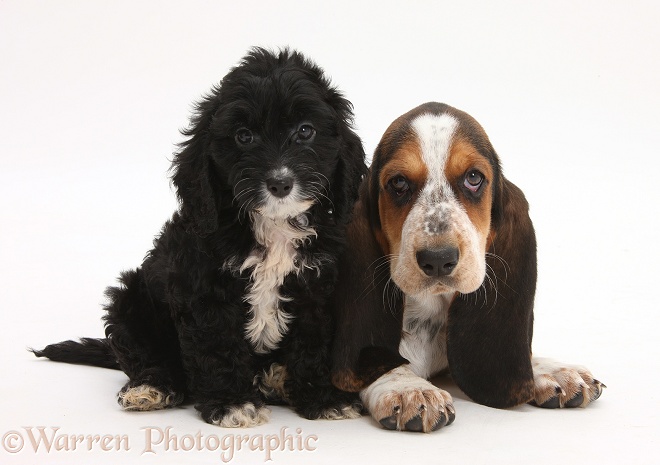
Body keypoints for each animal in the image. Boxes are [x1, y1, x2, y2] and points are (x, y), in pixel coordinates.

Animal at [33, 47, 366, 424]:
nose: (280, 183)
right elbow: (217, 344)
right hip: (130, 300)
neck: (272, 224)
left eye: (306, 131)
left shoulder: (316, 289)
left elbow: (313, 344)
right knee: (146, 357)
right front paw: (231, 402)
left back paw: (275, 378)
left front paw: (324, 399)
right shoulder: (203, 288)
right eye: (243, 136)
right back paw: (152, 387)